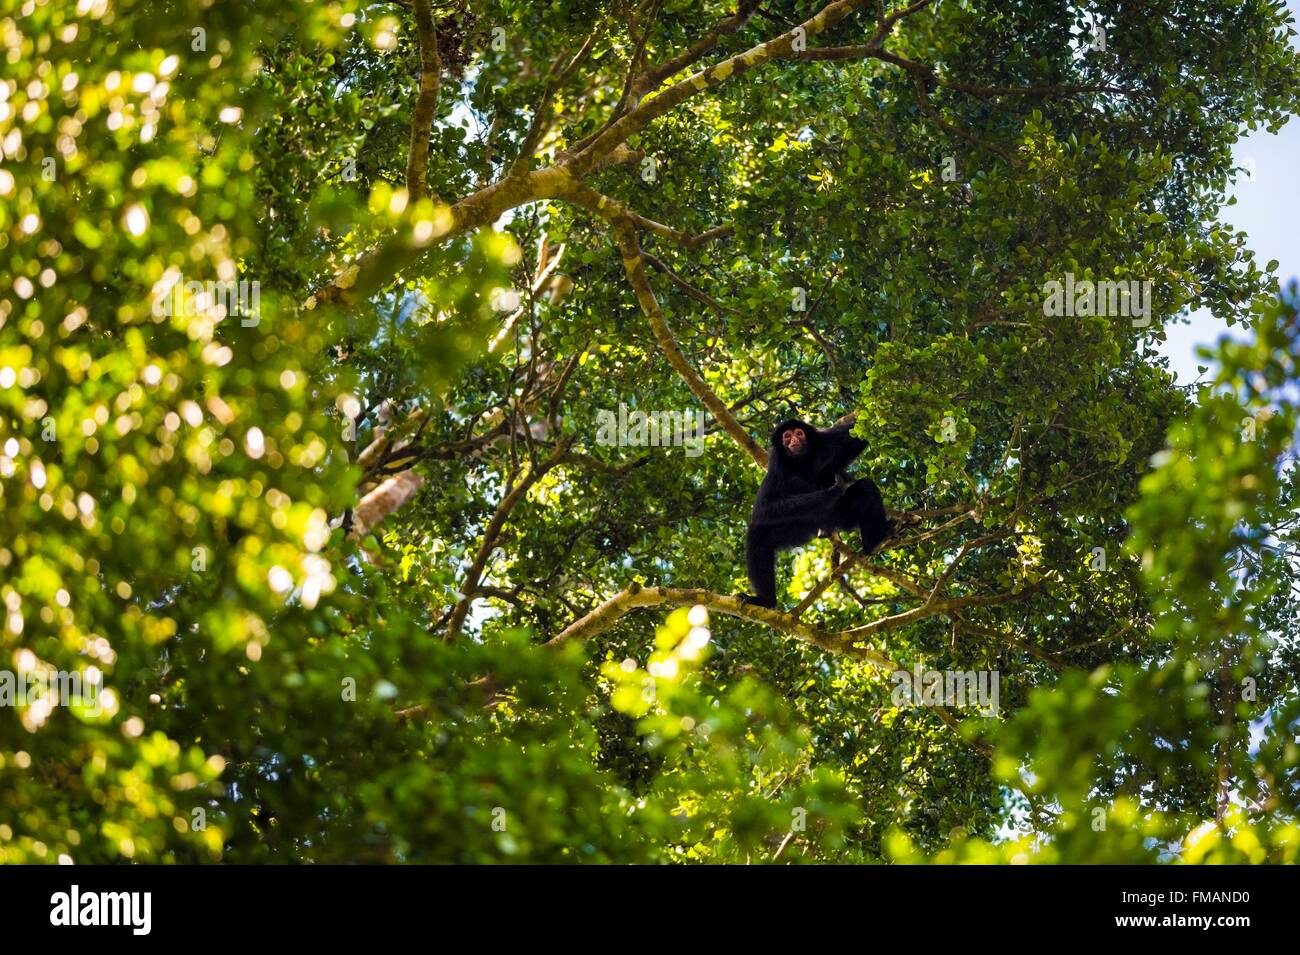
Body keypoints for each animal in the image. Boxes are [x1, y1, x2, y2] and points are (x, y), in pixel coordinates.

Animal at [743, 415, 894, 608]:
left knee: (865, 488)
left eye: (799, 433)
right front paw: (832, 491)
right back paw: (765, 601)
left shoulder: (823, 439)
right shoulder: (777, 462)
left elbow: (856, 435)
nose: (794, 440)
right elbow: (763, 509)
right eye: (787, 436)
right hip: (802, 527)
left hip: (841, 515)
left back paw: (875, 541)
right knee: (758, 536)